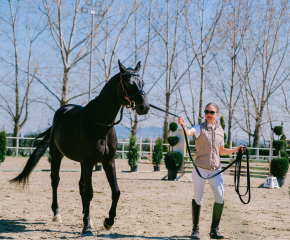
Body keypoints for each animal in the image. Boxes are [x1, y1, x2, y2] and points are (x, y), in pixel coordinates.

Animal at [9, 59, 150, 234]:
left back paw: (84, 214)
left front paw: (108, 222)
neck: (101, 124)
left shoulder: (108, 162)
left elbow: (115, 191)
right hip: (57, 155)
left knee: (81, 186)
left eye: (142, 82)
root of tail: (62, 111)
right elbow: (89, 193)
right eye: (128, 83)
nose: (144, 107)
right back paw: (57, 214)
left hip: (82, 163)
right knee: (55, 181)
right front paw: (87, 226)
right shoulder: (89, 162)